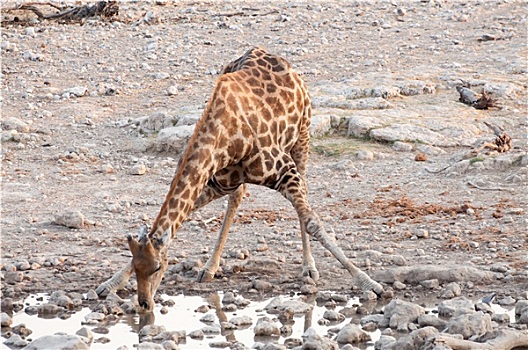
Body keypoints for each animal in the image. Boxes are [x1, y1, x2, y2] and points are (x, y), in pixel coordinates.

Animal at [96, 46, 384, 312]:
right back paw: (210, 268)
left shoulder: (285, 170)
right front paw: (109, 284)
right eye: (136, 267)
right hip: (243, 176)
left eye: (157, 268)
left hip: (303, 137)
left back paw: (308, 268)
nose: (144, 303)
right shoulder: (216, 181)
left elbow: (312, 222)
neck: (226, 137)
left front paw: (369, 284)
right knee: (237, 198)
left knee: (304, 196)